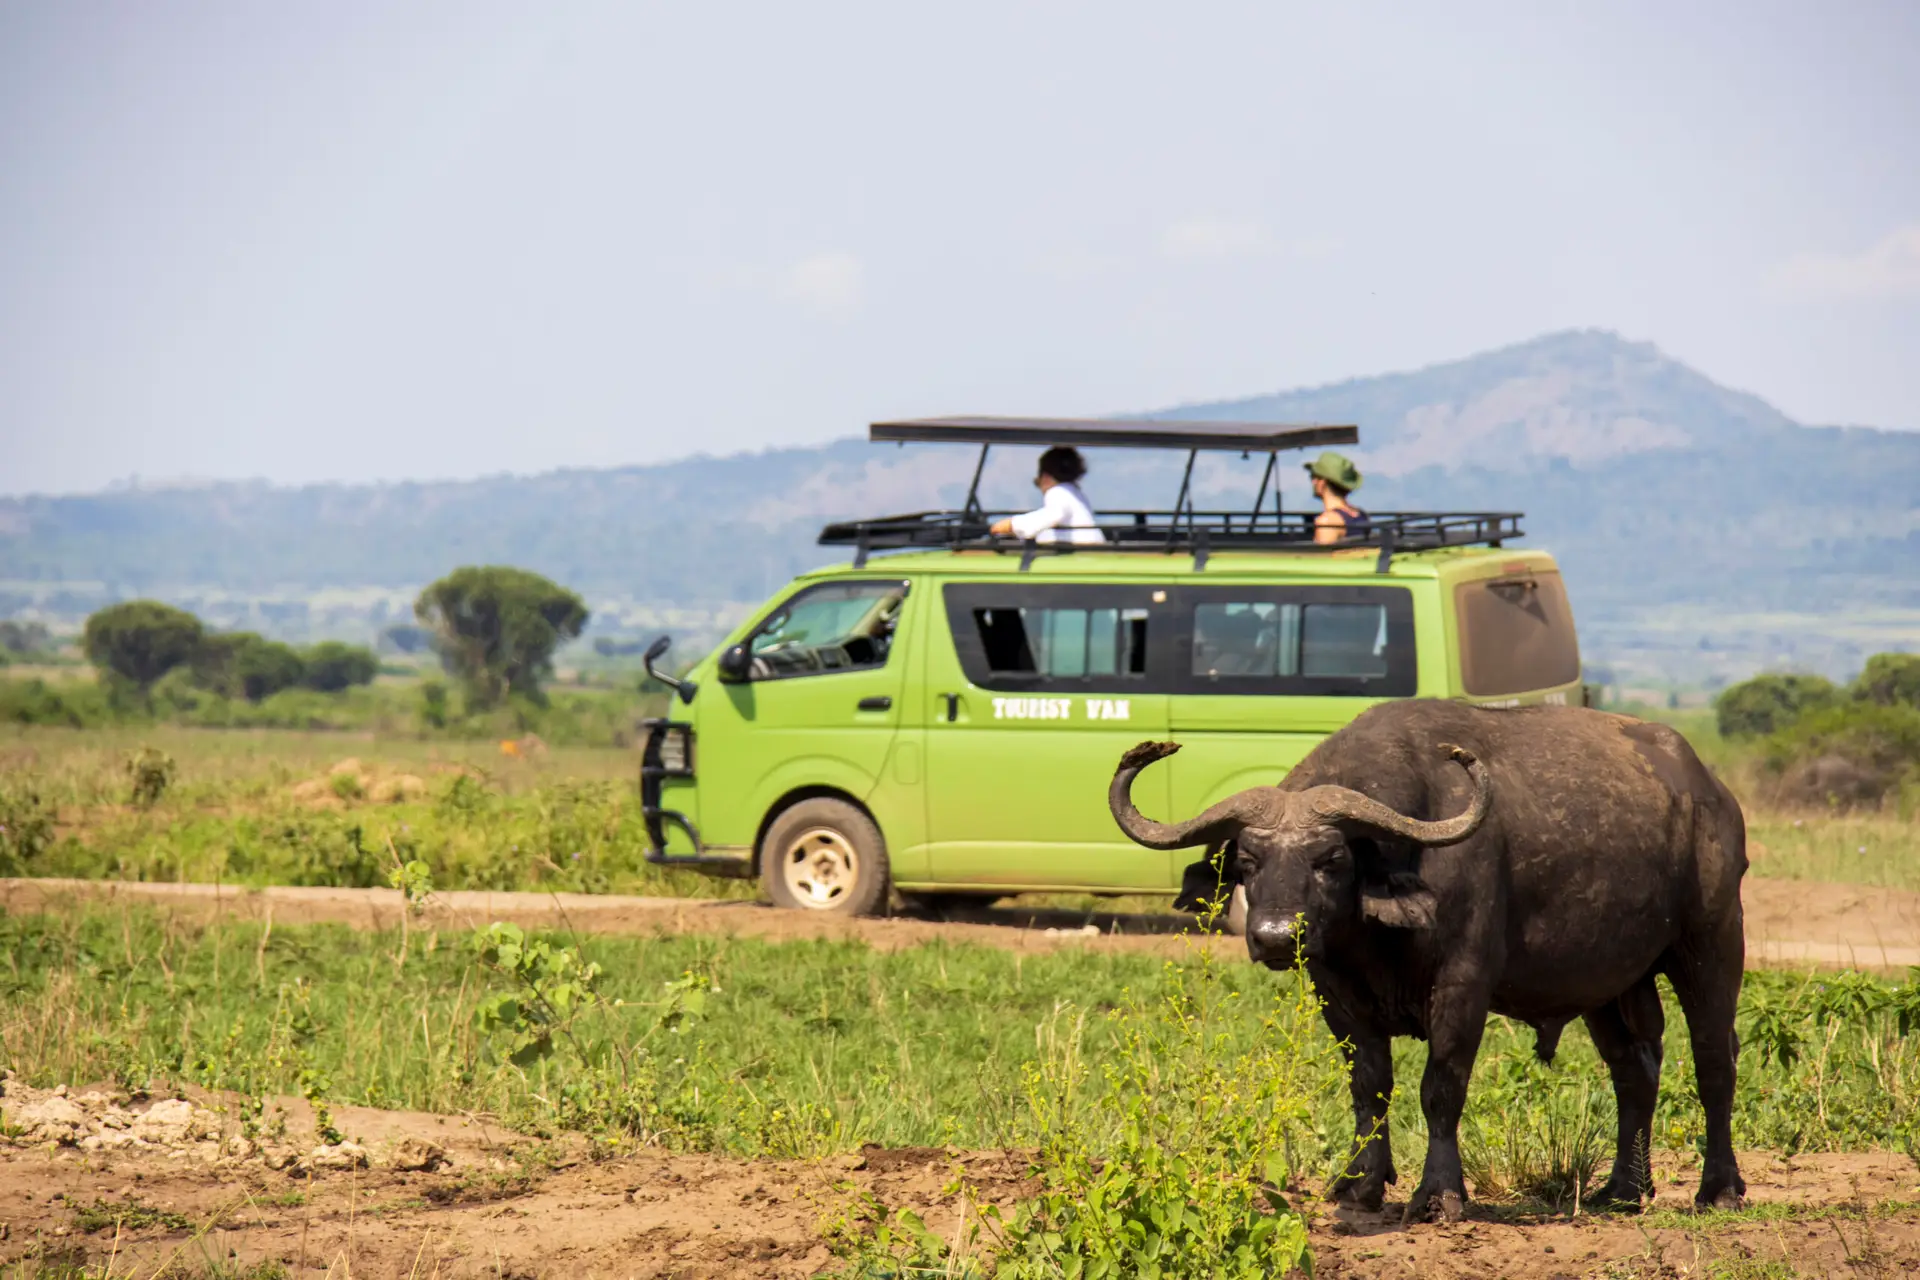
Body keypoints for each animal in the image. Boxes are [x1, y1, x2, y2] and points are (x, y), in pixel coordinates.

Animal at [1109, 700, 1747, 1222]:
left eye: (1331, 858)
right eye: (1246, 859)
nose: (1275, 936)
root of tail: (1709, 792)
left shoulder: (1462, 986)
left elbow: (1440, 1087)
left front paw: (1439, 1194)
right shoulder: (1336, 993)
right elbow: (1369, 1085)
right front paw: (1359, 1184)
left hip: (1712, 942)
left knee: (1714, 1060)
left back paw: (1717, 1189)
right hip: (1609, 983)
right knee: (1634, 1068)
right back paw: (1622, 1190)